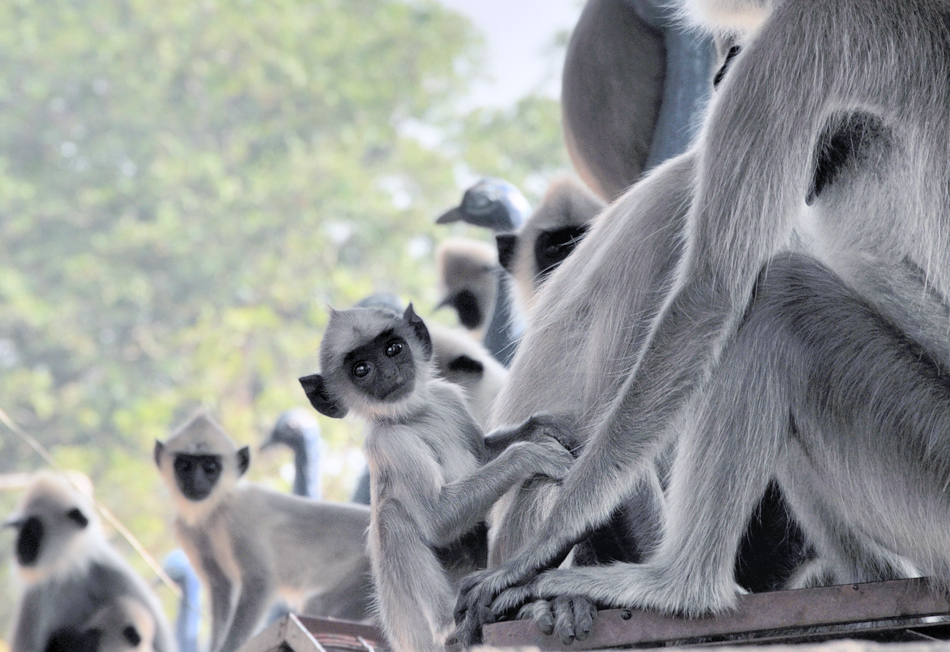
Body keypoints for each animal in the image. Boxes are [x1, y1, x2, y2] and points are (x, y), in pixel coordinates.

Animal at [154, 412, 374, 652]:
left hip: (366, 575)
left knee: (320, 605)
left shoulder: (239, 517)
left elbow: (259, 583)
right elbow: (221, 586)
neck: (216, 510)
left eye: (211, 468)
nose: (197, 481)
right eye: (184, 466)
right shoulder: (189, 531)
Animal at [302, 306, 576, 652]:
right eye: (361, 370)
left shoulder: (449, 399)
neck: (416, 416)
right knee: (393, 516)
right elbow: (438, 520)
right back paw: (449, 627)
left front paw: (538, 427)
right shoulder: (388, 442)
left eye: (393, 349)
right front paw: (533, 453)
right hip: (410, 626)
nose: (389, 373)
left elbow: (483, 453)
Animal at [456, 0, 950, 640]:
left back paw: (678, 589)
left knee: (776, 303)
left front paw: (548, 543)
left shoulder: (809, 30)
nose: (719, 72)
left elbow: (710, 294)